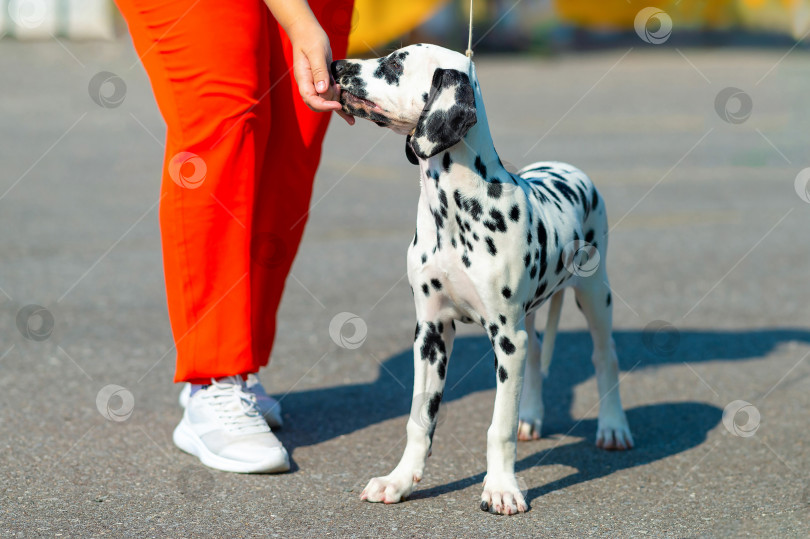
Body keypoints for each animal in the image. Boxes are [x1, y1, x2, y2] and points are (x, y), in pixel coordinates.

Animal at [328, 44, 632, 516]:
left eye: (395, 62)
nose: (336, 66)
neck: (454, 210)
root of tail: (568, 167)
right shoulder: (431, 333)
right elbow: (419, 420)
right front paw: (400, 481)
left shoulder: (506, 336)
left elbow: (498, 427)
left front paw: (502, 488)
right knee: (539, 353)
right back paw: (532, 418)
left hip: (594, 296)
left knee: (605, 357)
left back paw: (613, 427)